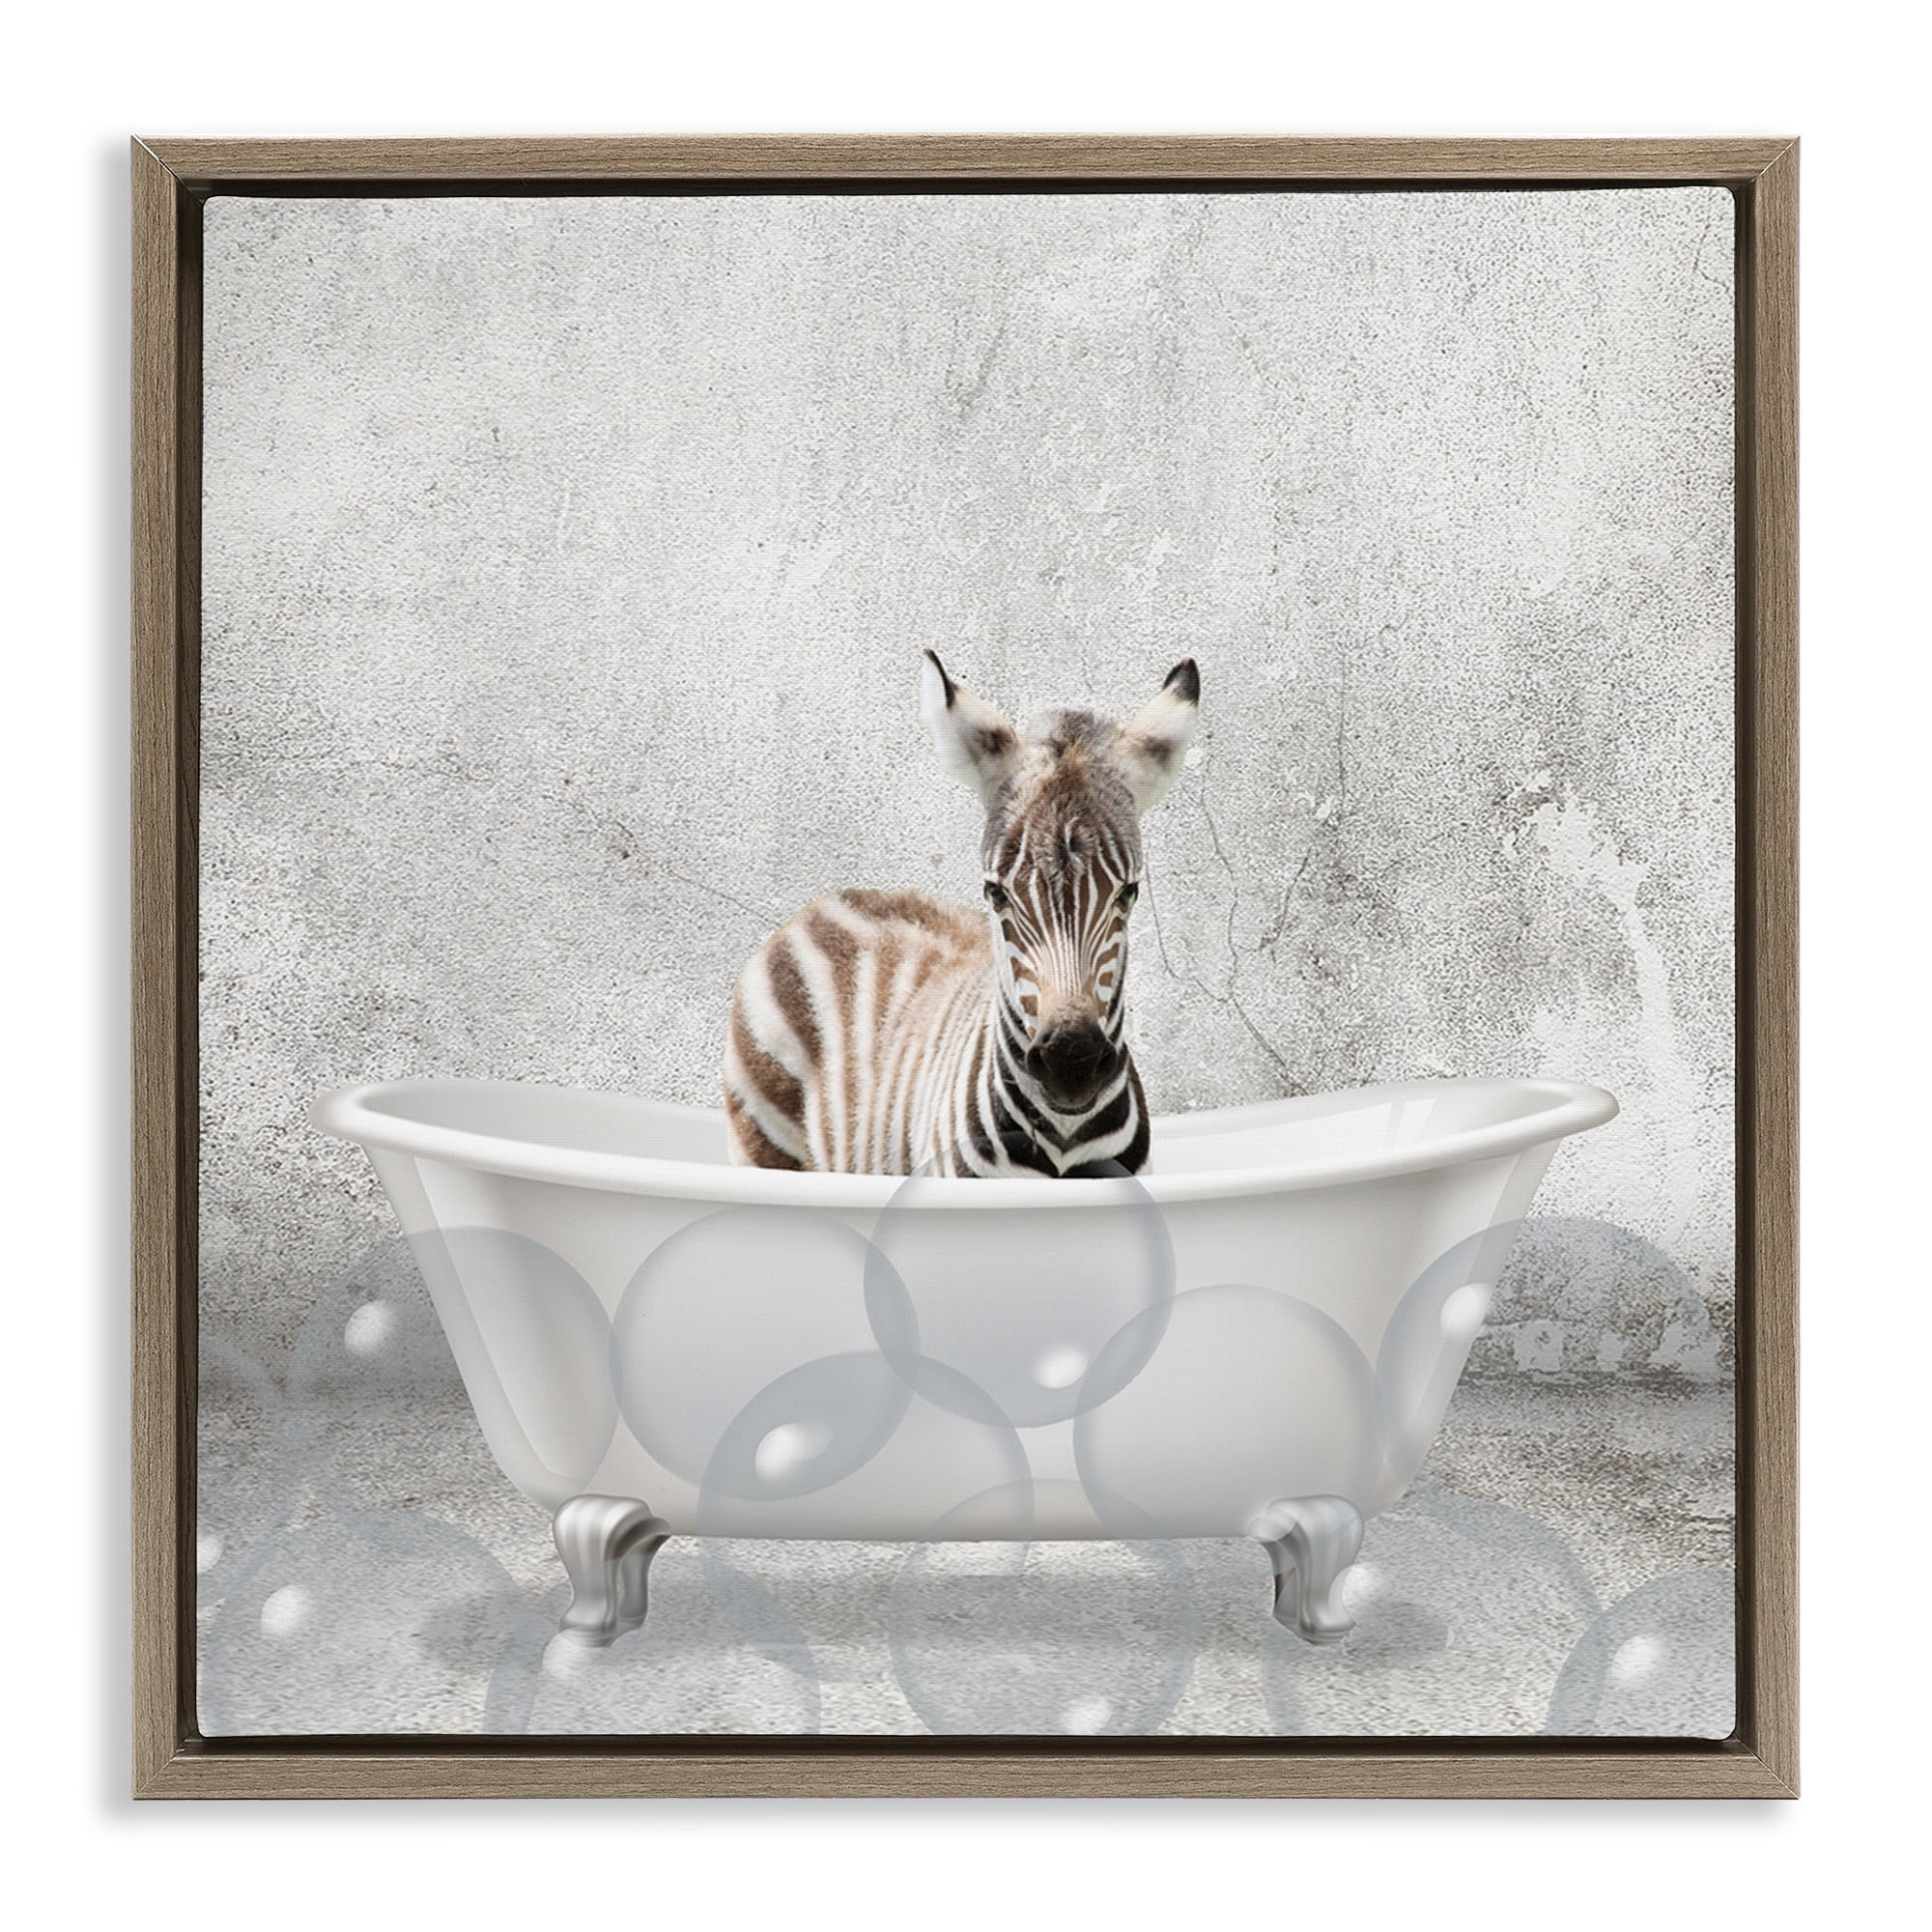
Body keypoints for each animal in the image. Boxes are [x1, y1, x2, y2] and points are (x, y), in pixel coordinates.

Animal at [724, 654, 1199, 1176]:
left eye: (1128, 893)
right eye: (995, 893)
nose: (1070, 1064)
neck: (1064, 1137)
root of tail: (827, 900)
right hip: (763, 1139)